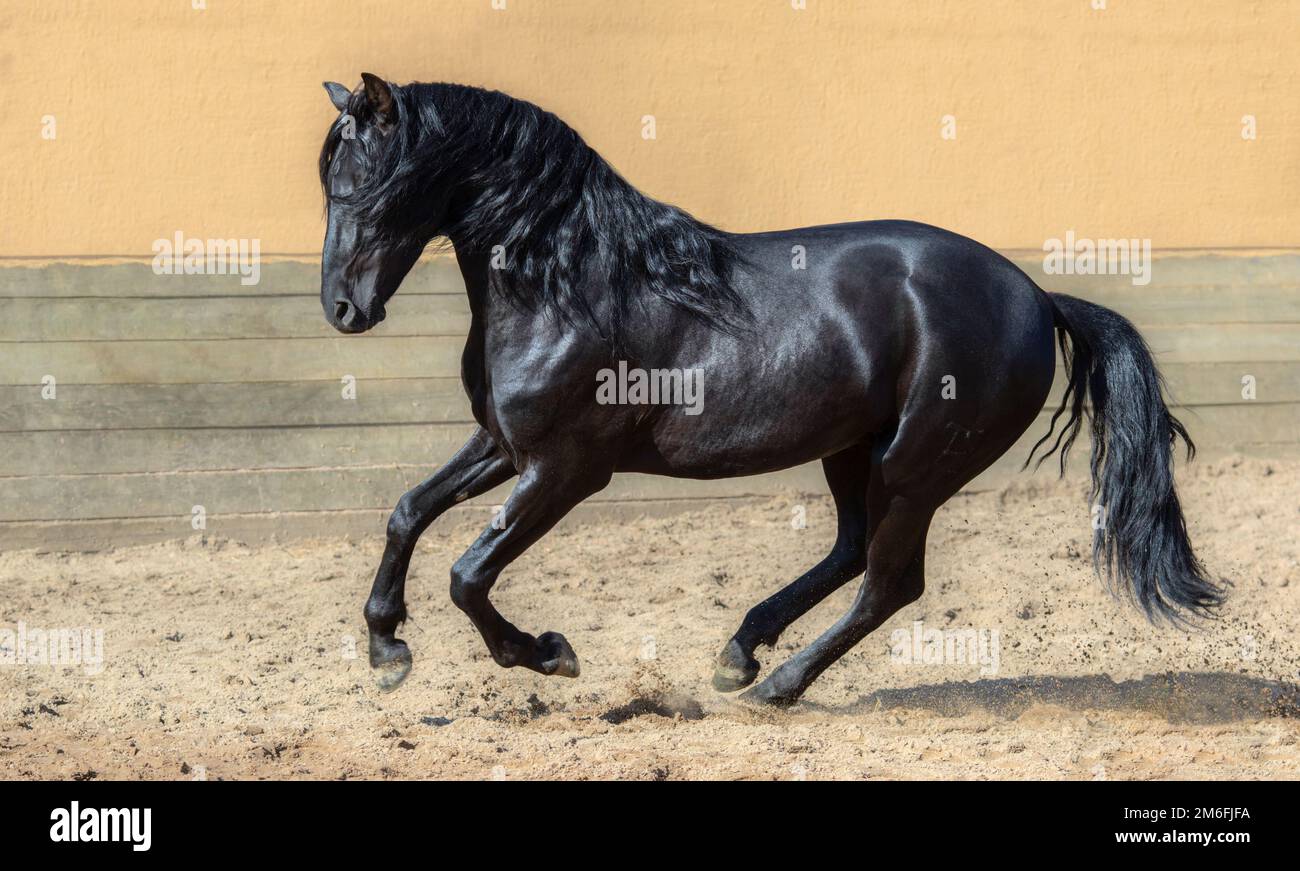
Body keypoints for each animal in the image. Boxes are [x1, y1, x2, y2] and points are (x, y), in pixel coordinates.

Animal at [317, 74, 1222, 707]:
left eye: (370, 183)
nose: (342, 309)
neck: (568, 288)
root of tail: (1038, 296)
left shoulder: (567, 470)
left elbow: (468, 573)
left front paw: (546, 652)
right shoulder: (506, 446)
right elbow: (407, 511)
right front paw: (388, 650)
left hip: (917, 466)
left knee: (888, 582)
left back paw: (780, 683)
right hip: (855, 450)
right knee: (853, 551)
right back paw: (739, 653)